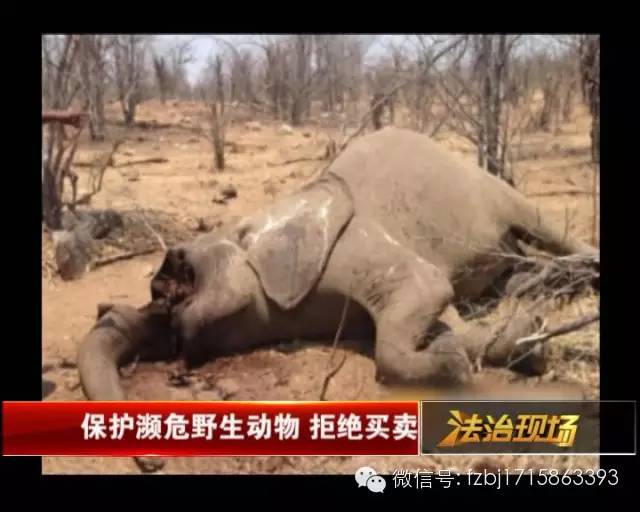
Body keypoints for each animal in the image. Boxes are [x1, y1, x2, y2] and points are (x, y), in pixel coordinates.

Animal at [78, 127, 599, 403]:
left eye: (182, 270)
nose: (156, 294)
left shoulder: (352, 244)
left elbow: (426, 291)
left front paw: (458, 363)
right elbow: (444, 316)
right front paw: (510, 343)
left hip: (493, 189)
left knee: (539, 224)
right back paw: (529, 285)